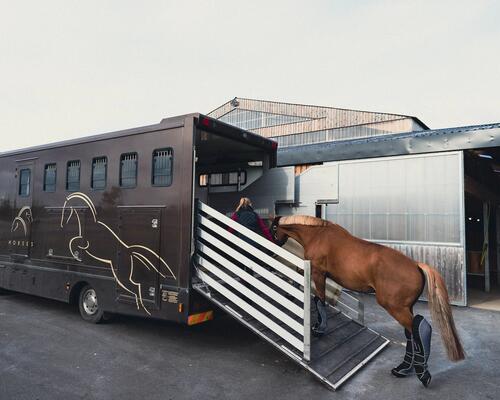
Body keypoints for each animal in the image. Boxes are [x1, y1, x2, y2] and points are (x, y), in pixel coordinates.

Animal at [270, 216, 464, 388]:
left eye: (273, 228)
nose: (275, 246)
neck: (318, 235)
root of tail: (416, 265)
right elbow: (315, 293)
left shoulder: (318, 273)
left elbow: (320, 300)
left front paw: (319, 329)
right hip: (406, 308)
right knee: (411, 333)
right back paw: (403, 369)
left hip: (395, 307)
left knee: (420, 328)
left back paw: (422, 375)